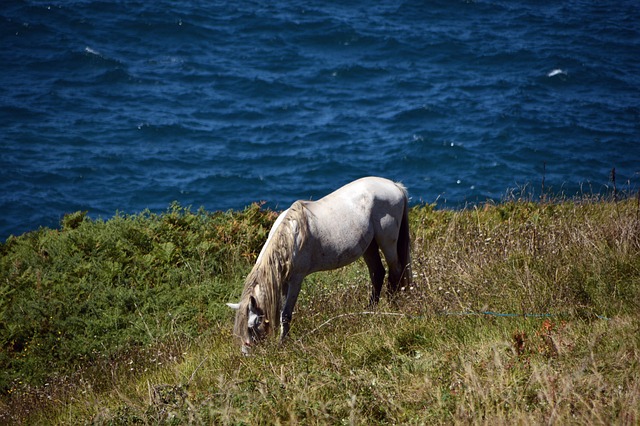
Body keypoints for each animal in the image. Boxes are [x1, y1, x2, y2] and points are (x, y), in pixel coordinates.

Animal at [228, 175, 412, 354]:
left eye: (251, 326)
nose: (246, 352)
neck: (290, 238)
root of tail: (395, 186)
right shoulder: (284, 282)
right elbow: (281, 312)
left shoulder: (296, 279)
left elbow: (286, 314)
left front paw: (283, 344)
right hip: (369, 245)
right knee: (378, 273)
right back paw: (370, 312)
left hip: (387, 242)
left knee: (395, 271)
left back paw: (393, 305)